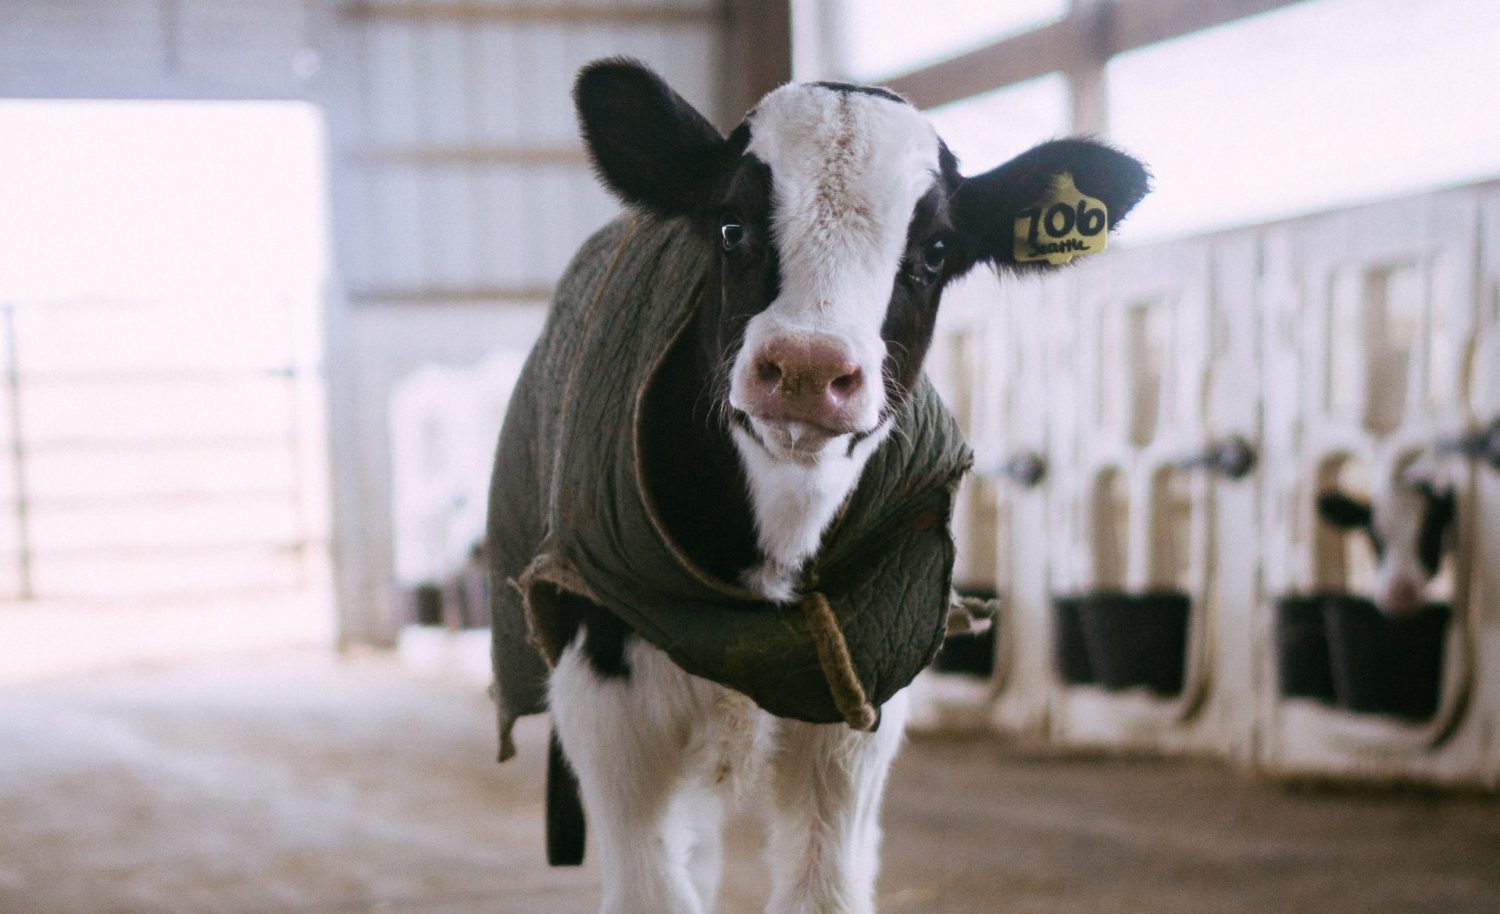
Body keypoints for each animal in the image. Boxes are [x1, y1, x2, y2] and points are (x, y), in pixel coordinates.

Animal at [489, 58, 1146, 912]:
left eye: (936, 249)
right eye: (731, 224)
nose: (806, 368)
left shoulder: (861, 696)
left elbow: (824, 889)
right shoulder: (603, 690)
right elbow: (654, 889)